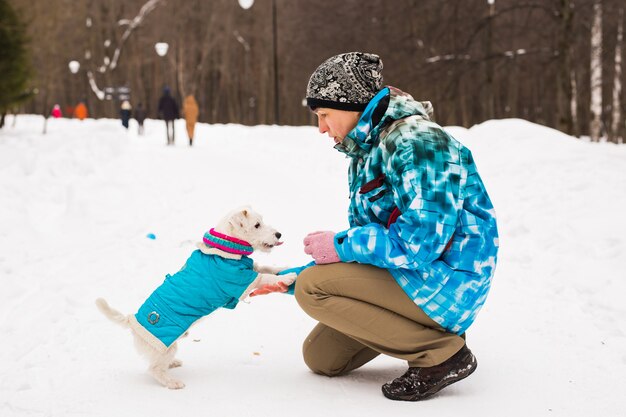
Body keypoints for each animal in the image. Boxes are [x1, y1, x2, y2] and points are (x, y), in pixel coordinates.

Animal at [95, 206, 294, 388]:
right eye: (257, 225)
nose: (278, 234)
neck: (226, 249)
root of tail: (131, 320)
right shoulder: (242, 281)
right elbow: (265, 276)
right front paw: (288, 277)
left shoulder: (250, 270)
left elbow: (267, 268)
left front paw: (283, 269)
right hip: (164, 347)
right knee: (154, 369)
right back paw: (172, 382)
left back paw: (173, 363)